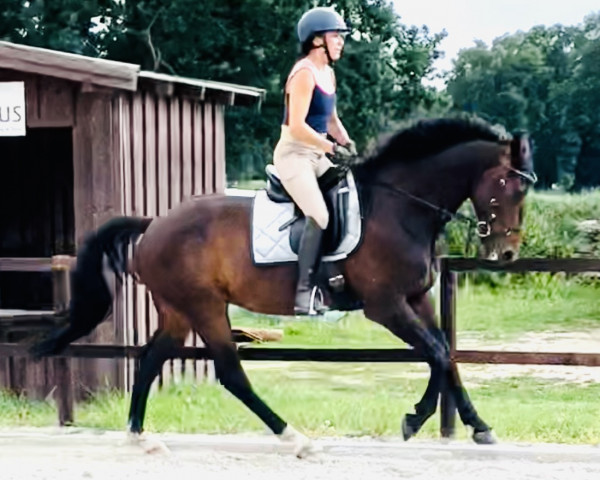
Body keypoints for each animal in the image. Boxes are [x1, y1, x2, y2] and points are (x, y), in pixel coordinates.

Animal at [34, 118, 536, 456]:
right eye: (509, 186)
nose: (507, 254)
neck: (400, 207)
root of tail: (154, 223)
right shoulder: (386, 305)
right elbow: (433, 351)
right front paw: (415, 419)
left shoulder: (418, 298)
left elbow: (445, 354)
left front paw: (477, 425)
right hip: (205, 307)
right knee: (230, 373)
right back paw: (294, 437)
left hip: (178, 311)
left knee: (150, 358)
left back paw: (140, 436)